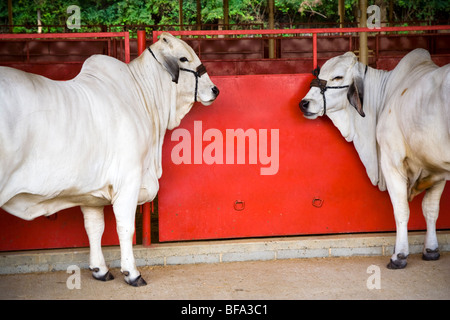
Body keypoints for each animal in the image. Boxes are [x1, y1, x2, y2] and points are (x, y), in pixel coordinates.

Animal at [0, 33, 218, 288]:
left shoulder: (88, 192)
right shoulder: (129, 180)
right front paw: (132, 272)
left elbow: (94, 228)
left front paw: (99, 269)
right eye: (184, 58)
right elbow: (125, 227)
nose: (215, 89)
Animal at [298, 49, 450, 270]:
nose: (304, 103)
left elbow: (402, 210)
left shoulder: (391, 162)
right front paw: (430, 250)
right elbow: (430, 209)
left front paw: (399, 255)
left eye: (338, 77)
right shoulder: (435, 169)